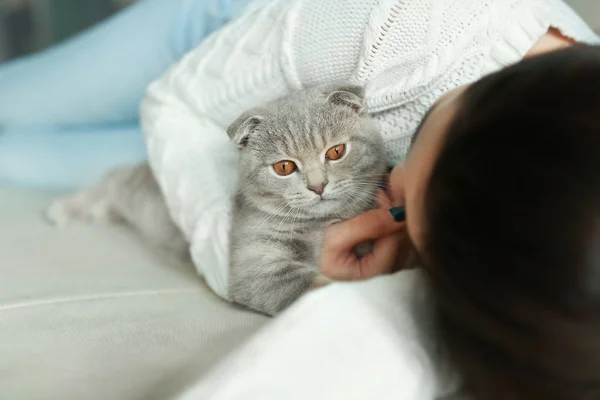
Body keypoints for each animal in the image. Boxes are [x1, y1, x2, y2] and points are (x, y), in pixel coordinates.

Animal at [227, 84, 386, 316]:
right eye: (284, 167)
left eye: (336, 151)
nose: (317, 186)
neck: (318, 224)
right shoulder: (254, 261)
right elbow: (312, 287)